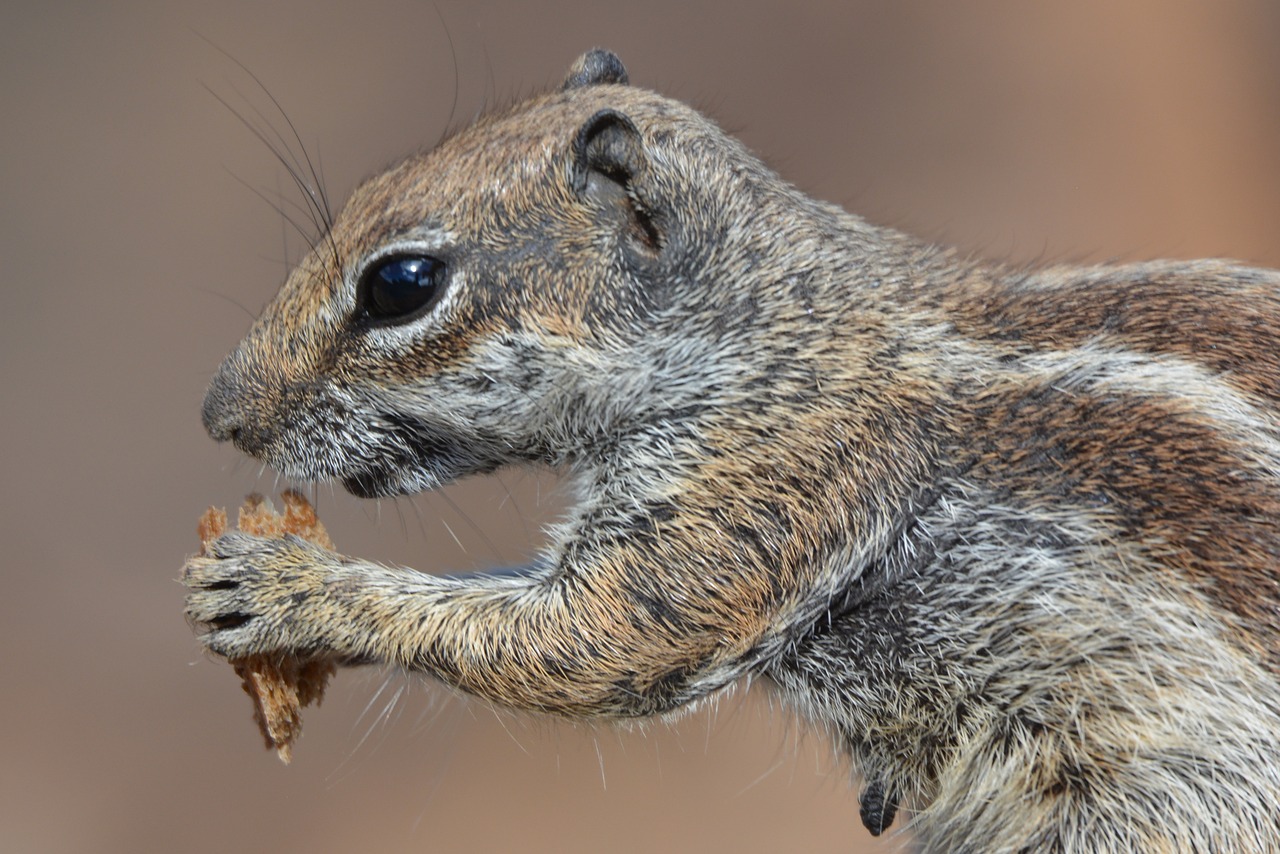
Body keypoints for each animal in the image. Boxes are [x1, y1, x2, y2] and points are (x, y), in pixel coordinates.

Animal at [183, 50, 1280, 850]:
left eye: (401, 284)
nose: (219, 413)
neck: (766, 320)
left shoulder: (764, 478)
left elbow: (588, 638)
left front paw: (287, 586)